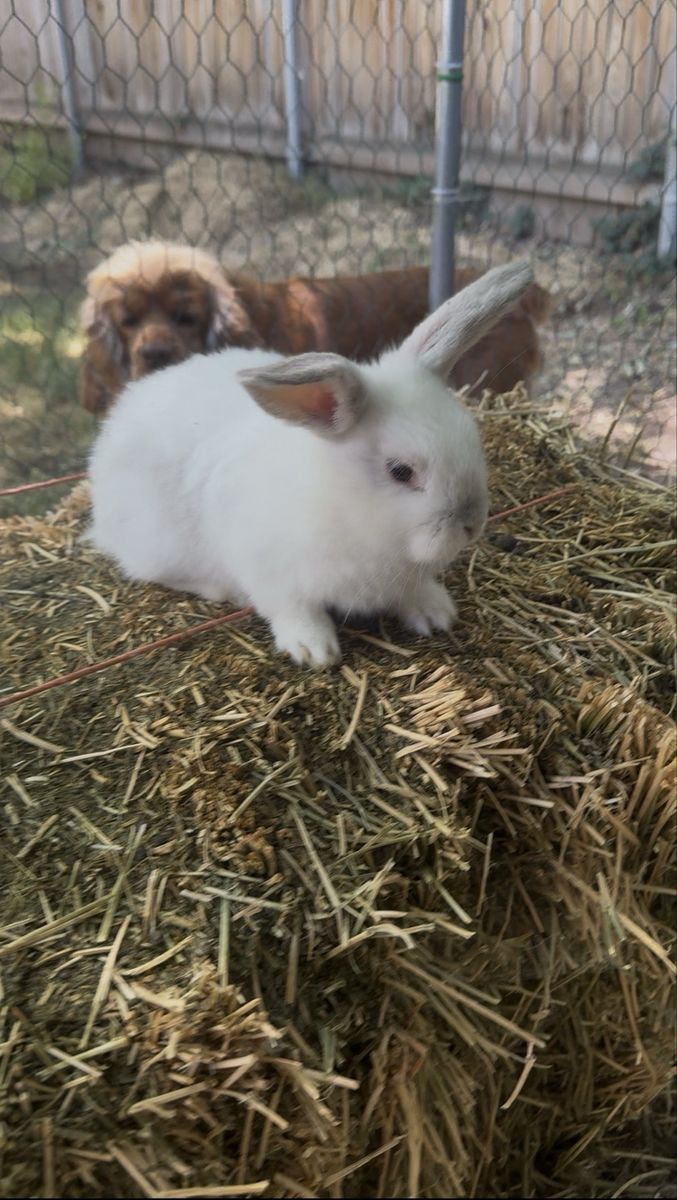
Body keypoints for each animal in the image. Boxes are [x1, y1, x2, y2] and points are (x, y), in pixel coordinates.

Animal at [88, 259, 533, 667]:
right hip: (159, 546)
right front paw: (314, 650)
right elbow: (294, 610)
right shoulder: (272, 574)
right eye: (401, 471)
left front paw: (435, 611)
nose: (472, 524)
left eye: (472, 437)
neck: (344, 506)